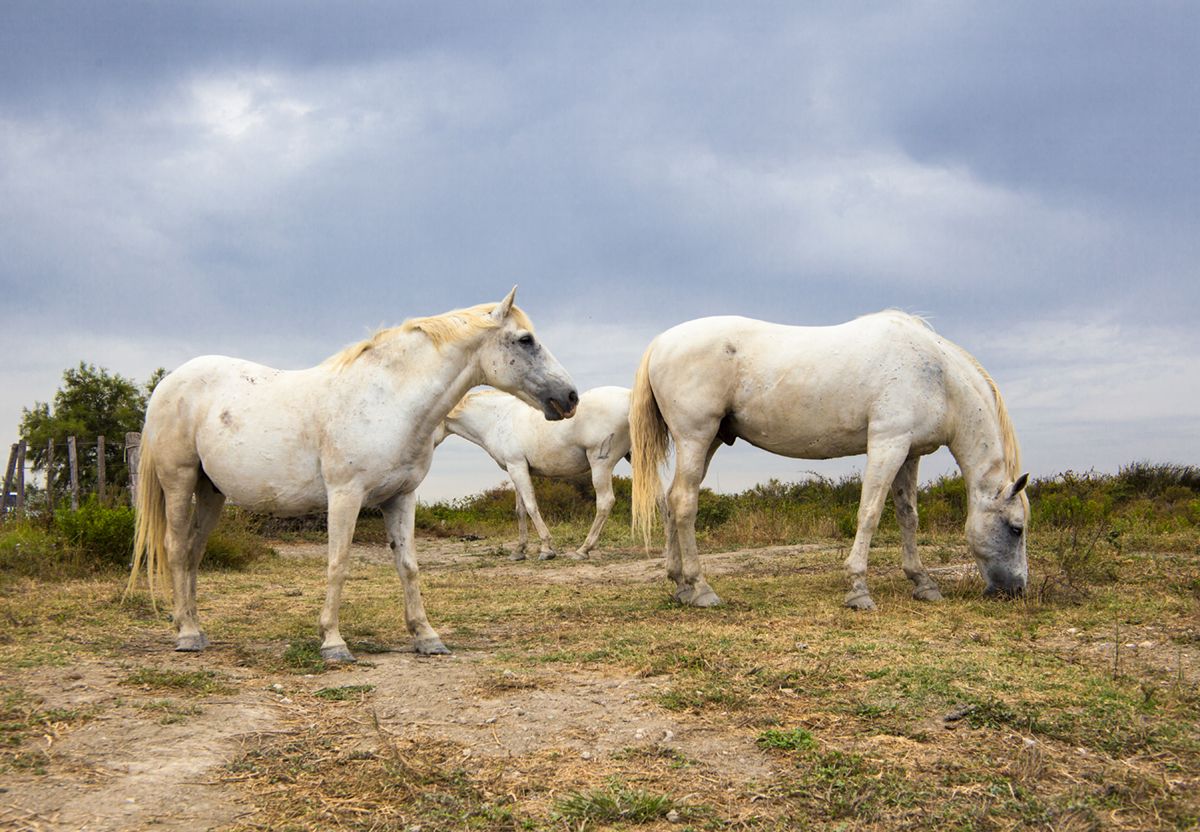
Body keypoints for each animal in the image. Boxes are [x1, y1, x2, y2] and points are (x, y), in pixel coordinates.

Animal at [129, 289, 578, 657]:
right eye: (525, 340)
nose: (570, 397)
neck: (388, 400)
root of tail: (169, 383)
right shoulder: (345, 496)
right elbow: (338, 562)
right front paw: (333, 642)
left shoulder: (401, 498)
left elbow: (408, 566)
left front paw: (426, 637)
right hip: (179, 481)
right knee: (175, 549)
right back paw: (187, 635)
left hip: (211, 492)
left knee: (193, 551)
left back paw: (193, 627)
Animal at [436, 384, 633, 557]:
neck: (498, 418)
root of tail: (629, 396)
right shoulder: (515, 469)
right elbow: (520, 510)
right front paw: (519, 550)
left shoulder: (517, 467)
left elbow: (531, 506)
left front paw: (546, 548)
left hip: (600, 465)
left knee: (605, 502)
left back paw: (583, 550)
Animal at [628, 312, 1032, 609]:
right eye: (1017, 528)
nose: (1016, 590)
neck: (936, 375)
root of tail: (660, 343)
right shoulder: (887, 444)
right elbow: (870, 513)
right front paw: (858, 589)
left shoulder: (909, 453)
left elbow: (908, 516)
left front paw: (923, 582)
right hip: (695, 438)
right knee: (684, 503)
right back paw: (701, 589)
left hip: (709, 440)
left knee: (670, 500)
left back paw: (680, 586)